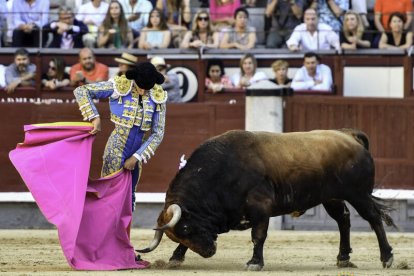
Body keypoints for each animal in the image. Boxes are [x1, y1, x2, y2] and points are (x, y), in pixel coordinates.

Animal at [137, 129, 396, 270]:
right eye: (179, 233)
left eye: (187, 228)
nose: (209, 252)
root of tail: (349, 136)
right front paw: (175, 258)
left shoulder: (260, 206)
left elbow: (258, 235)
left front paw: (255, 262)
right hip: (331, 197)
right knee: (343, 220)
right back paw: (343, 258)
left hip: (358, 194)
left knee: (373, 218)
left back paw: (387, 257)